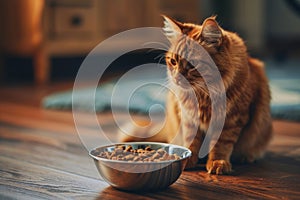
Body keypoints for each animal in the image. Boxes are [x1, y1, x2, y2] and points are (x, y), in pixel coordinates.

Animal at [119, 15, 272, 174]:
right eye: (173, 61)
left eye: (192, 65)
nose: (177, 78)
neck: (204, 94)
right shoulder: (189, 118)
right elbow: (192, 142)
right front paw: (186, 159)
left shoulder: (232, 119)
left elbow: (221, 144)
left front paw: (218, 162)